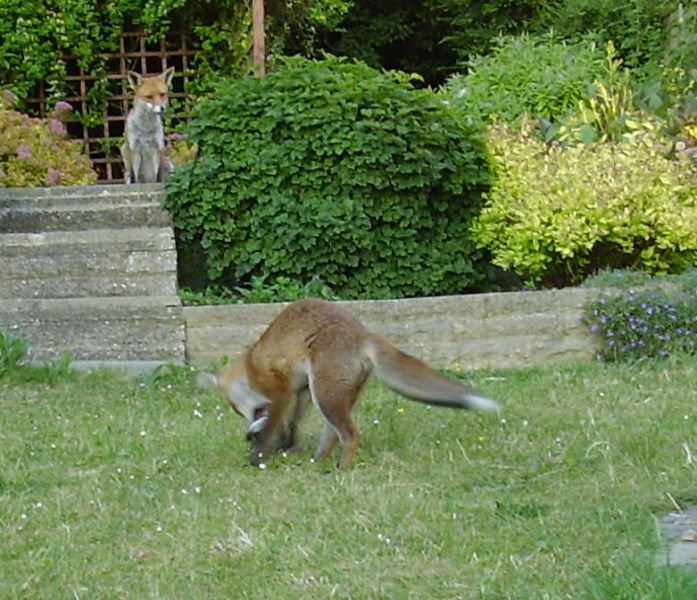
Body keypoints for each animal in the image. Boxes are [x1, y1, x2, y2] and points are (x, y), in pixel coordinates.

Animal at [215, 298, 498, 468]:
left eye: (237, 408)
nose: (247, 433)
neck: (250, 363)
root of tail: (362, 333)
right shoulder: (301, 392)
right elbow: (291, 424)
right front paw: (286, 446)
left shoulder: (281, 391)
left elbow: (274, 426)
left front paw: (259, 457)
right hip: (332, 395)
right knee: (334, 433)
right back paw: (319, 462)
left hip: (325, 395)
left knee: (350, 434)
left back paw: (342, 469)